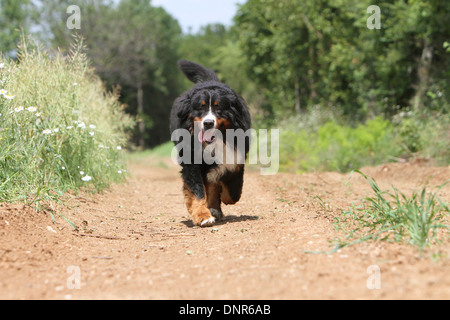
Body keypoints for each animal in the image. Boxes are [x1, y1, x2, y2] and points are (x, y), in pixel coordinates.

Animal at [170, 60, 251, 228]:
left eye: (218, 107)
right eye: (200, 107)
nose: (208, 123)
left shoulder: (236, 157)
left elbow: (233, 192)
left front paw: (222, 199)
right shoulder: (191, 162)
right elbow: (198, 191)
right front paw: (203, 216)